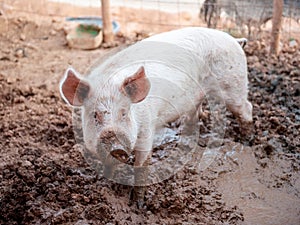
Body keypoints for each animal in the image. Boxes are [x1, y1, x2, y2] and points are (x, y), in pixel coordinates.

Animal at [59, 26, 253, 207]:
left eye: (124, 112)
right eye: (95, 115)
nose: (116, 146)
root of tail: (235, 40)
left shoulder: (147, 127)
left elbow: (142, 165)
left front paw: (138, 206)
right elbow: (108, 164)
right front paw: (107, 184)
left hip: (233, 83)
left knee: (246, 108)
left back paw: (247, 140)